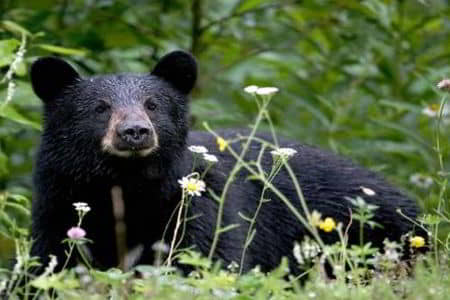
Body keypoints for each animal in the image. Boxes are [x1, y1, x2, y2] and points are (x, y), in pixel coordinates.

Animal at [29, 51, 424, 274]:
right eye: (101, 108)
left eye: (153, 105)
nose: (135, 132)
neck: (127, 185)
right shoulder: (59, 200)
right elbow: (51, 261)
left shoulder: (196, 205)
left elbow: (207, 258)